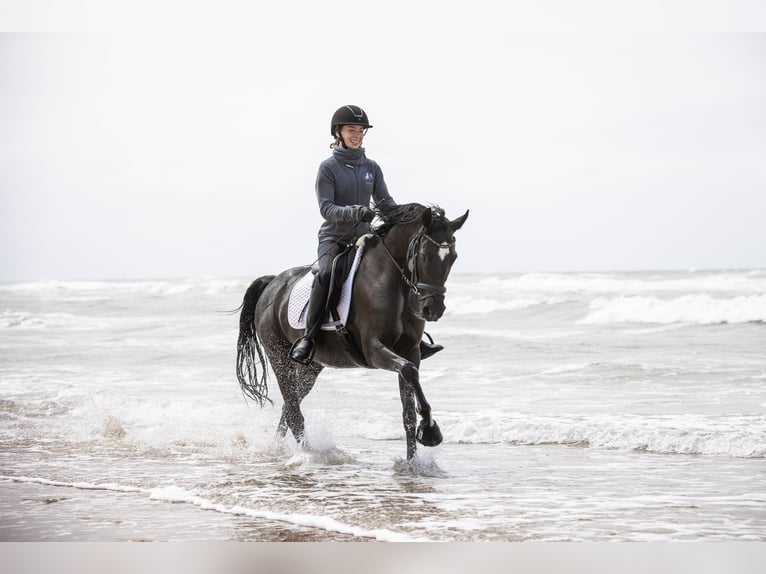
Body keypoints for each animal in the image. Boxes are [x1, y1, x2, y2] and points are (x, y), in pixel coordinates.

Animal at [237, 205, 472, 462]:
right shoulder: (374, 350)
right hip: (279, 357)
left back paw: (279, 449)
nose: (433, 309)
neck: (393, 283)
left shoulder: (411, 351)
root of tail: (272, 284)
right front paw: (430, 431)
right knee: (293, 410)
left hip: (312, 365)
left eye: (453, 258)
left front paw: (413, 461)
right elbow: (410, 372)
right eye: (424, 256)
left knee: (291, 404)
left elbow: (408, 409)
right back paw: (308, 455)